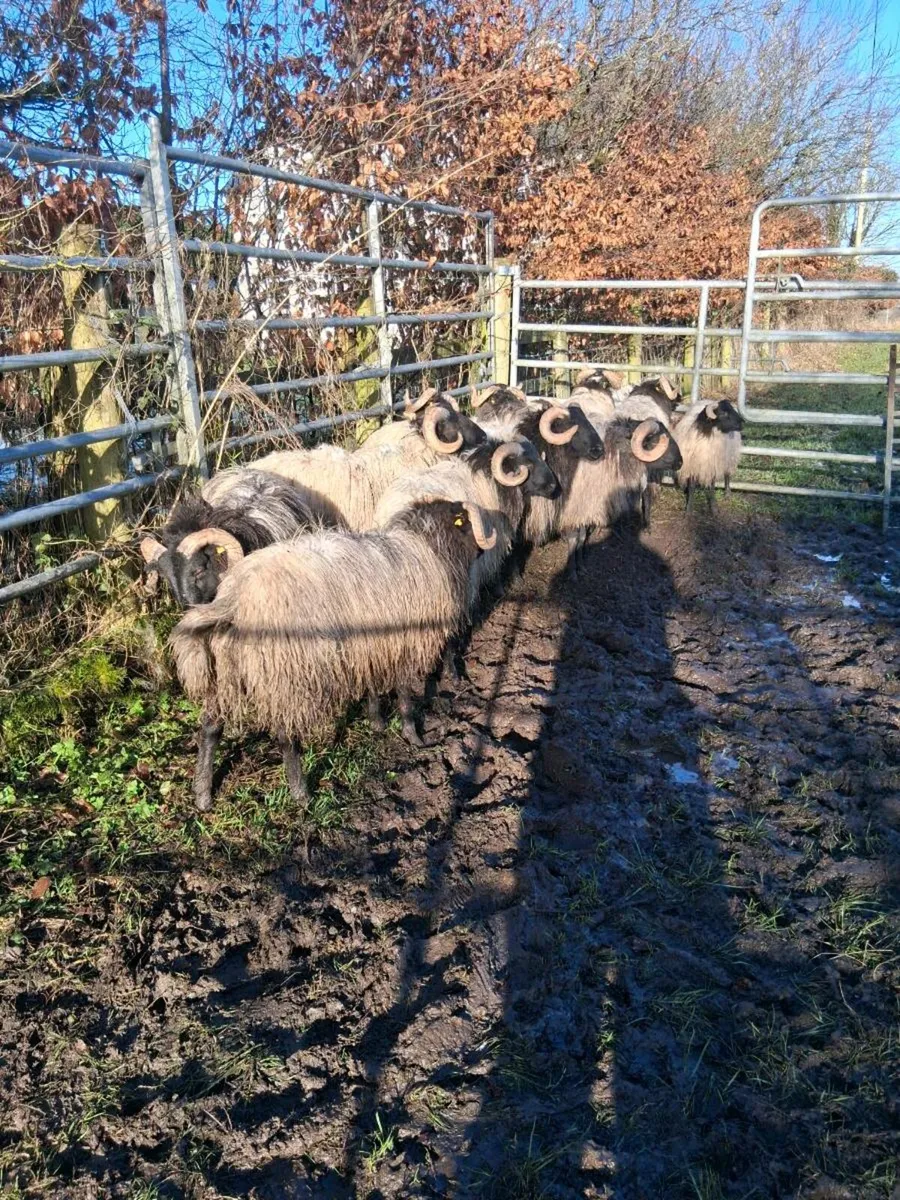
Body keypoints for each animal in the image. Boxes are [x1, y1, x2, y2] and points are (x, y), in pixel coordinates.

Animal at [170, 498, 498, 809]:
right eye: (465, 522)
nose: (482, 552)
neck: (428, 546)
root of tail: (232, 600)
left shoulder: (374, 646)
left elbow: (373, 686)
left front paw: (377, 723)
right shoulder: (405, 643)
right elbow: (405, 695)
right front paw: (414, 738)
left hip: (223, 673)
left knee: (210, 728)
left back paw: (203, 796)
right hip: (285, 674)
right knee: (286, 736)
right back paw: (301, 794)